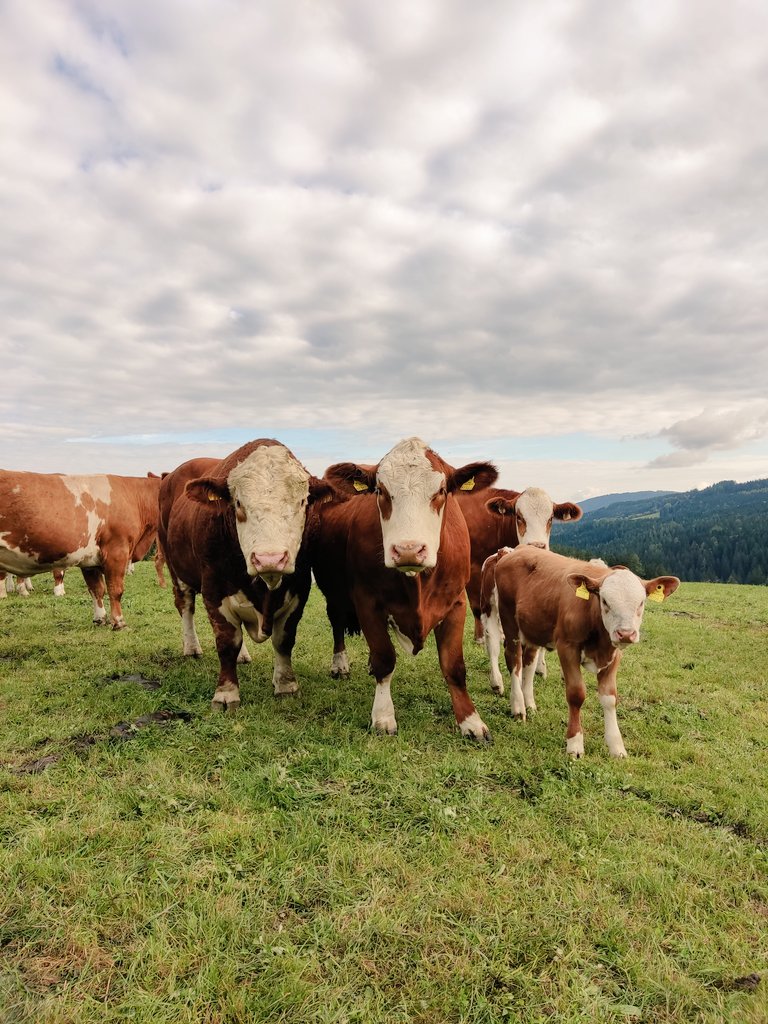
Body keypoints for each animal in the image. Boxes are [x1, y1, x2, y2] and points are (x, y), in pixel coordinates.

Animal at [0, 470, 162, 628]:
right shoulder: (117, 550)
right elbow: (115, 589)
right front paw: (119, 622)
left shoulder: (90, 559)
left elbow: (96, 589)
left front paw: (100, 619)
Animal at [158, 440, 334, 711]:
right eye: (238, 503)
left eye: (303, 502)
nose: (270, 558)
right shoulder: (214, 591)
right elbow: (227, 641)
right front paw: (226, 693)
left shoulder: (299, 589)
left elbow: (284, 640)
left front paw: (286, 685)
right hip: (176, 568)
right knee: (185, 605)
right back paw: (191, 647)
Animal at [309, 437, 498, 740]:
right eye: (380, 490)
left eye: (441, 490)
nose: (408, 549)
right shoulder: (367, 601)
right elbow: (385, 658)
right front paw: (383, 716)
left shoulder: (456, 602)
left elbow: (455, 667)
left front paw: (471, 721)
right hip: (332, 589)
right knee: (337, 623)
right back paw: (340, 664)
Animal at [484, 545, 680, 756]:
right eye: (605, 601)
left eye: (641, 603)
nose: (626, 634)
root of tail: (516, 550)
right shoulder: (567, 647)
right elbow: (576, 694)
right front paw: (575, 743)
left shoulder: (614, 655)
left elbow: (610, 698)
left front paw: (616, 747)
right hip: (508, 620)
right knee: (514, 659)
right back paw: (518, 707)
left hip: (533, 626)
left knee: (529, 661)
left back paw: (529, 702)